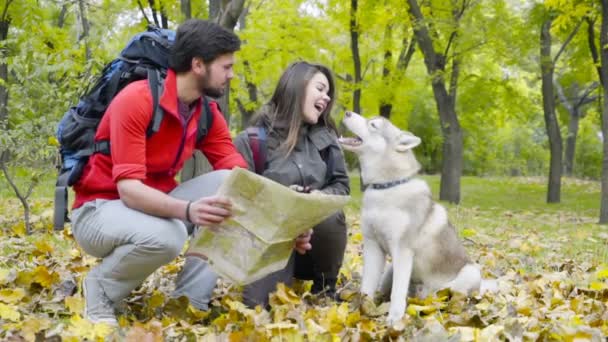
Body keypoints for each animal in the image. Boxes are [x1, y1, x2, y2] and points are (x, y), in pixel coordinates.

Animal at [340, 112, 482, 326]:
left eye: (373, 125)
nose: (348, 113)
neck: (387, 187)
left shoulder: (402, 250)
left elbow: (398, 292)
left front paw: (394, 319)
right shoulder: (373, 246)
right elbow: (368, 285)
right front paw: (360, 309)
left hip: (469, 273)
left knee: (451, 293)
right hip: (389, 271)